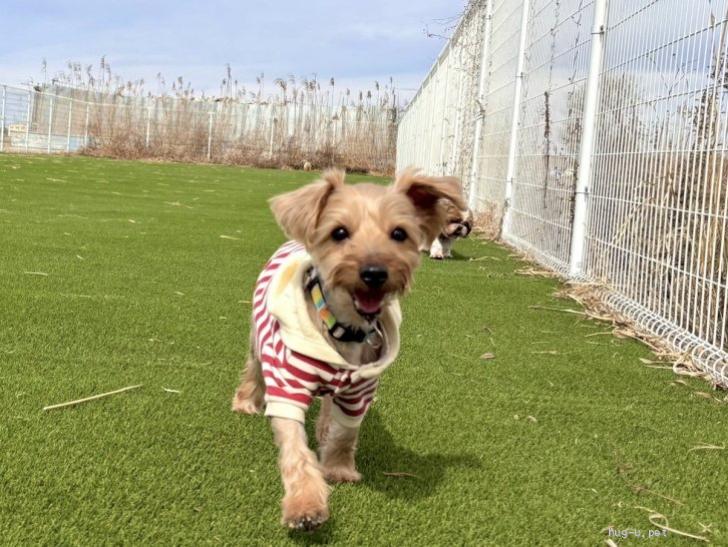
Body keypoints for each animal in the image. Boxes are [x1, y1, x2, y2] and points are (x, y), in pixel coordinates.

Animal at [232, 167, 465, 530]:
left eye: (399, 234)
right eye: (339, 232)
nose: (374, 273)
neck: (344, 328)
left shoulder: (359, 391)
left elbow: (345, 434)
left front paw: (338, 468)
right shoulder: (288, 386)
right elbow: (296, 450)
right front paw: (305, 504)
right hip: (259, 341)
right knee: (253, 370)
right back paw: (245, 402)